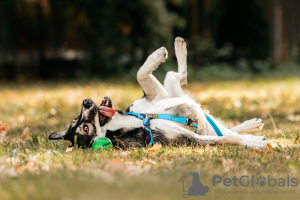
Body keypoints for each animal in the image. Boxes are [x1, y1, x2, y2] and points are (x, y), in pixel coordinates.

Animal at [48, 36, 268, 149]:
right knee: (225, 131)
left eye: (77, 118)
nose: (85, 101)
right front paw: (254, 142)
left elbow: (140, 73)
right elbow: (228, 139)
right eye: (85, 129)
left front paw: (156, 56)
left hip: (172, 90)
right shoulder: (190, 139)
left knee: (177, 76)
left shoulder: (156, 95)